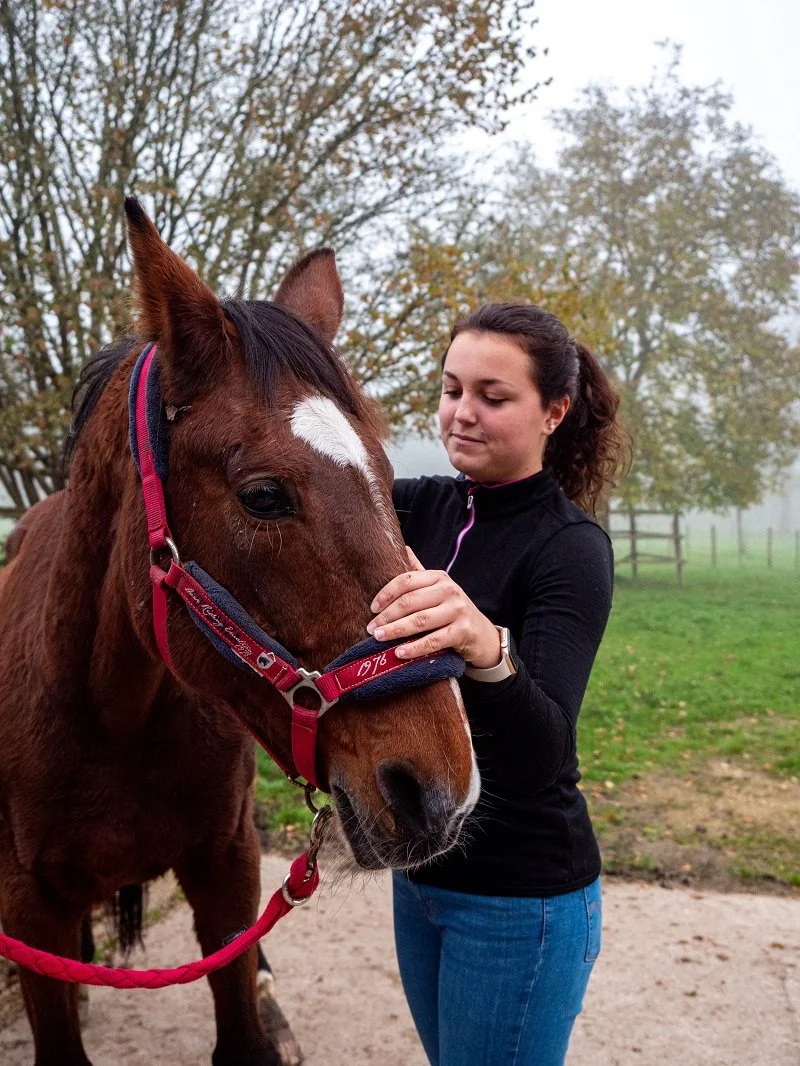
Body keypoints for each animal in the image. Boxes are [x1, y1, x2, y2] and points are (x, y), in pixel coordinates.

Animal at [0, 198, 479, 1066]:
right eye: (263, 495)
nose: (442, 793)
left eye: (390, 484)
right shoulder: (27, 906)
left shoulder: (227, 871)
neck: (107, 718)